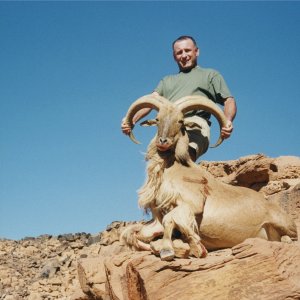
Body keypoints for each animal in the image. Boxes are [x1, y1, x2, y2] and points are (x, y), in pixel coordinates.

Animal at [120, 94, 298, 260]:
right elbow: (132, 233)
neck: (172, 170)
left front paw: (174, 249)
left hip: (281, 222)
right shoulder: (157, 218)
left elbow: (170, 219)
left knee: (292, 237)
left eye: (180, 121)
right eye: (157, 119)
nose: (163, 141)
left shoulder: (192, 204)